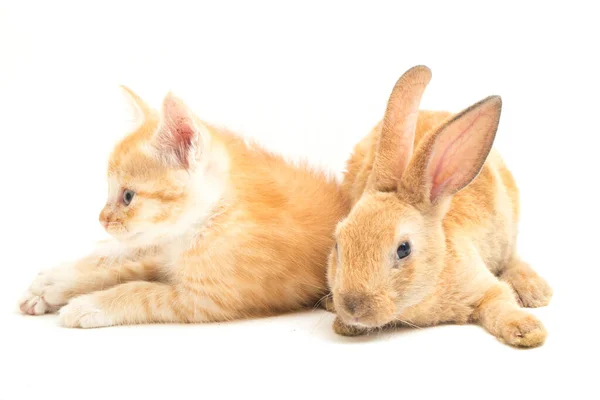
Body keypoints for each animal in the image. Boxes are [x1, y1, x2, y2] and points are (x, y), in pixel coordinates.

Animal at [18, 87, 346, 328]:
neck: (208, 220)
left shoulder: (206, 299)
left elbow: (139, 289)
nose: (102, 219)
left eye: (128, 196)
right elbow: (126, 268)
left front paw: (86, 303)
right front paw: (59, 284)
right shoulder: (169, 252)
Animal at [328, 65, 552, 346]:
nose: (353, 306)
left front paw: (528, 330)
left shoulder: (482, 283)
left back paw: (534, 292)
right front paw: (343, 323)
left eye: (403, 249)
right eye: (338, 244)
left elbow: (500, 302)